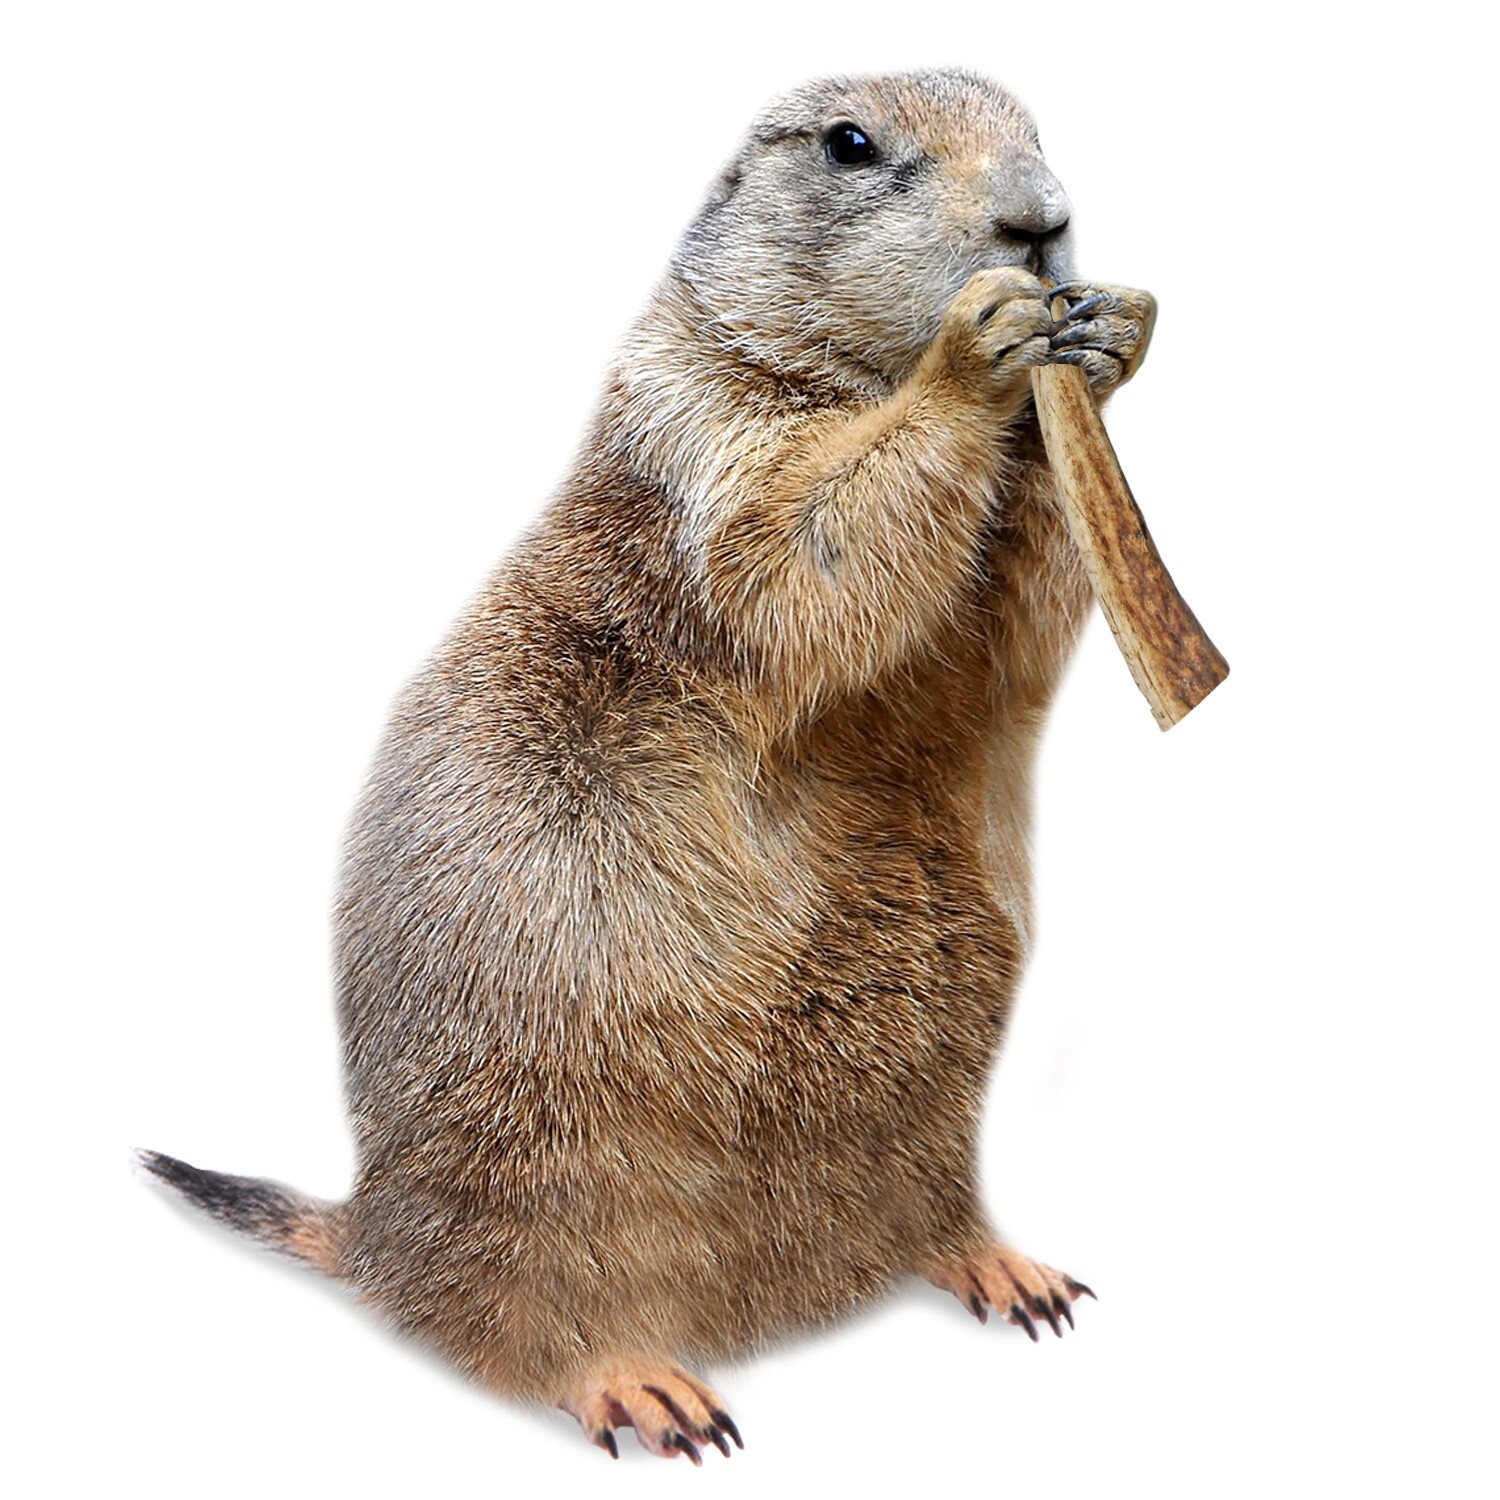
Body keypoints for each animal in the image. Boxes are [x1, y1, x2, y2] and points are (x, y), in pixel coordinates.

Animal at [143, 67, 1156, 1463]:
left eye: (1042, 128)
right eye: (851, 145)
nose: (1043, 221)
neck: (840, 378)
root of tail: (376, 1234)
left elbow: (1011, 615)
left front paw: (1110, 348)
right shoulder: (699, 431)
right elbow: (799, 544)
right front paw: (975, 351)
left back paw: (1005, 1268)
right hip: (551, 1148)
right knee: (528, 1317)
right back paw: (644, 1383)